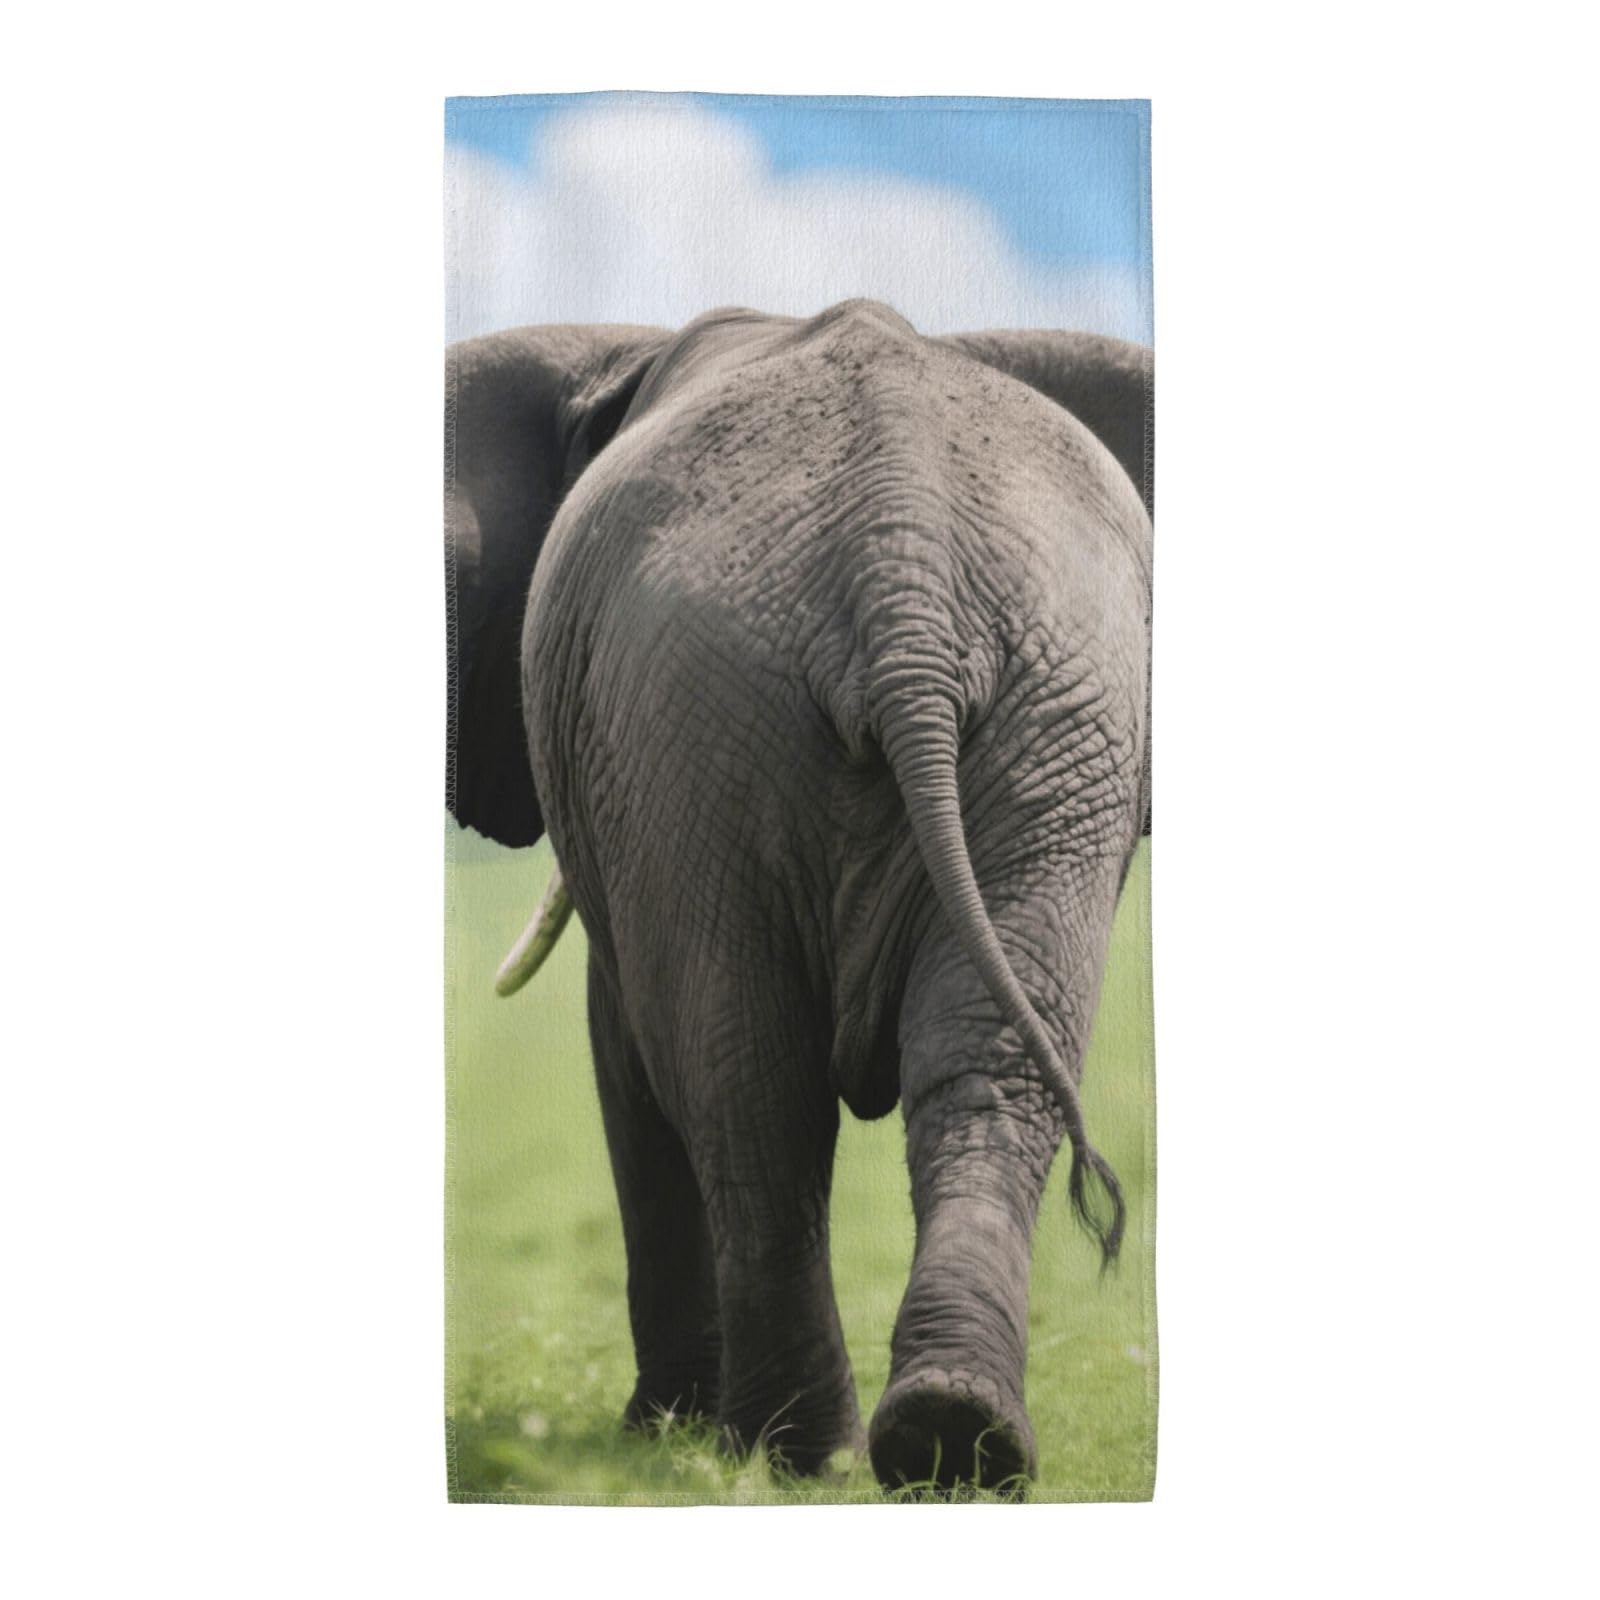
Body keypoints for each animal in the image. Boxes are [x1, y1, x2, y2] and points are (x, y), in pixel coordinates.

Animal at [447, 298, 1152, 1491]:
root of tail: (903, 572)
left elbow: (622, 1040)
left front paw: (659, 1431)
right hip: (1030, 713)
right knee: (949, 1072)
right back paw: (940, 1441)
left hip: (730, 713)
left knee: (745, 1081)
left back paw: (802, 1452)